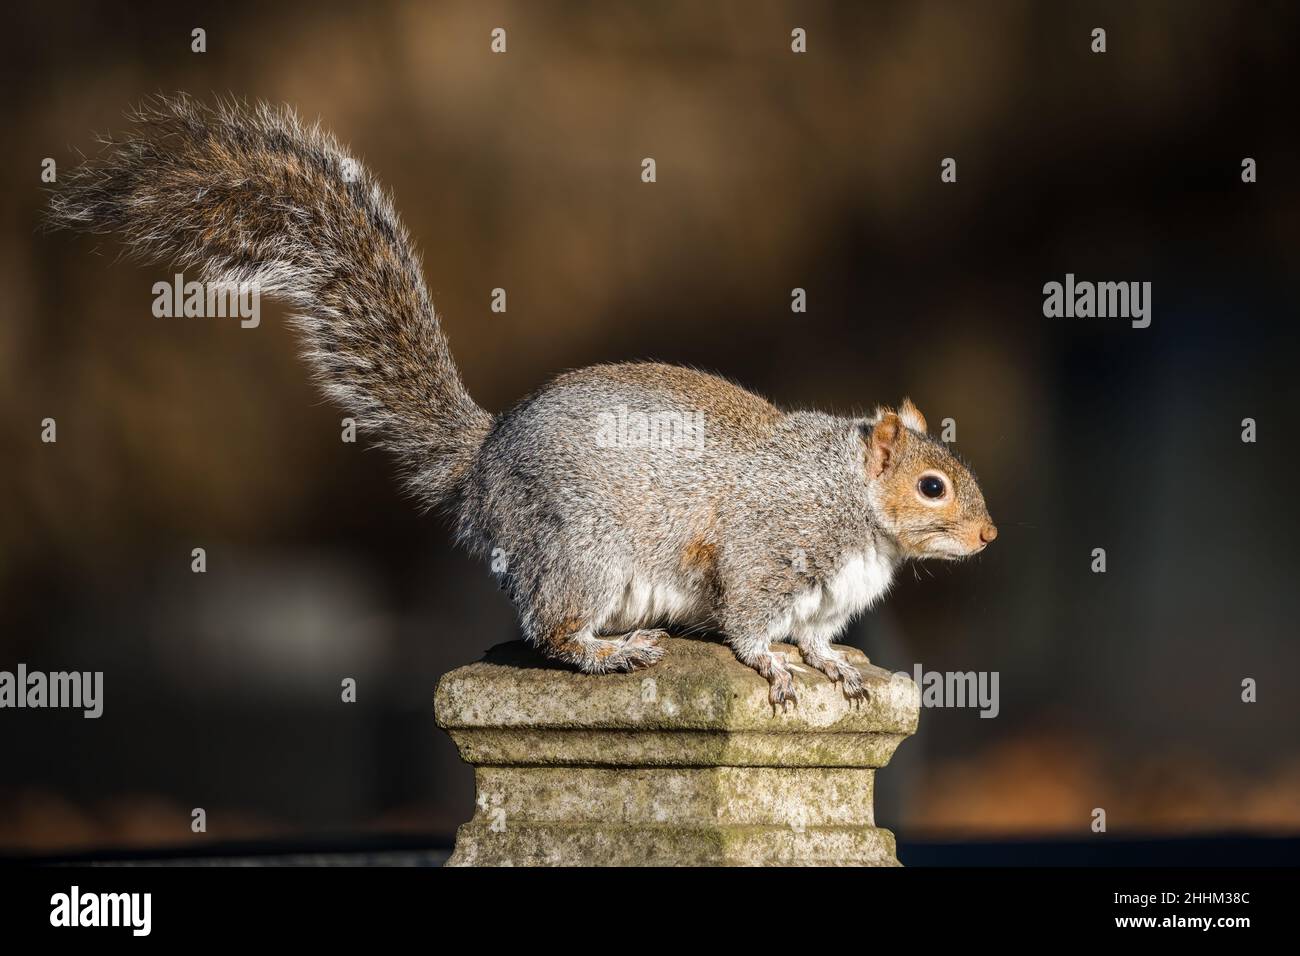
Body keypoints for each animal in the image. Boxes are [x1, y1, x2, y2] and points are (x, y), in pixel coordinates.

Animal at [45, 97, 987, 712]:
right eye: (932, 485)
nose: (988, 536)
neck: (853, 503)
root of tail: (485, 455)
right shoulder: (765, 551)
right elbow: (751, 624)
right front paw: (778, 670)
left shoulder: (824, 601)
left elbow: (821, 637)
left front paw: (837, 667)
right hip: (583, 549)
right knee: (552, 632)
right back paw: (613, 651)